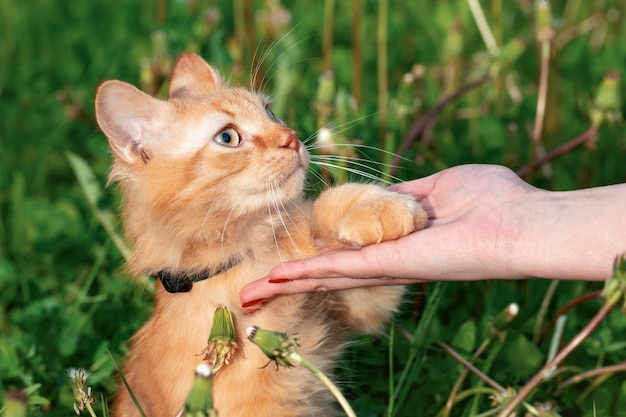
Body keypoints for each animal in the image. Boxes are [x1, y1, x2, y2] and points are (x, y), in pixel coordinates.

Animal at [95, 52, 426, 416]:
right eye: (227, 138)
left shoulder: (360, 306)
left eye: (269, 112)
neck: (255, 252)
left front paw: (380, 206)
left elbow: (332, 206)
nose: (292, 137)